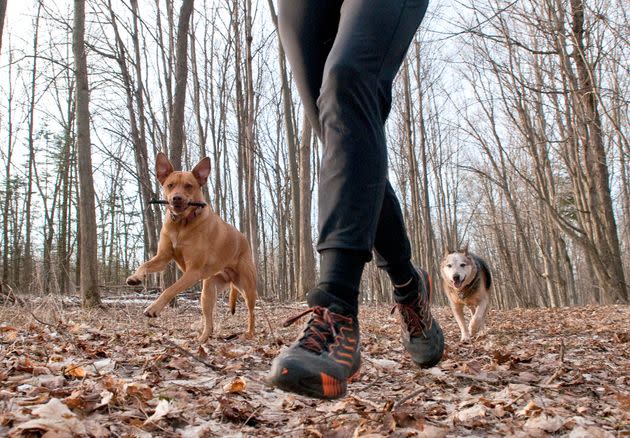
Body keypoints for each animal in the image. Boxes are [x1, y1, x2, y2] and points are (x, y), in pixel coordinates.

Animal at [126, 152, 256, 340]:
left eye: (189, 186)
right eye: (170, 185)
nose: (176, 198)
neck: (181, 224)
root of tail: (244, 239)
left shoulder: (192, 272)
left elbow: (170, 289)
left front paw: (154, 308)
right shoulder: (163, 258)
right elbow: (145, 264)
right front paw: (136, 277)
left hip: (247, 287)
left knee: (252, 312)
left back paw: (250, 332)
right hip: (208, 292)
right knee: (209, 320)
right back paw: (203, 339)